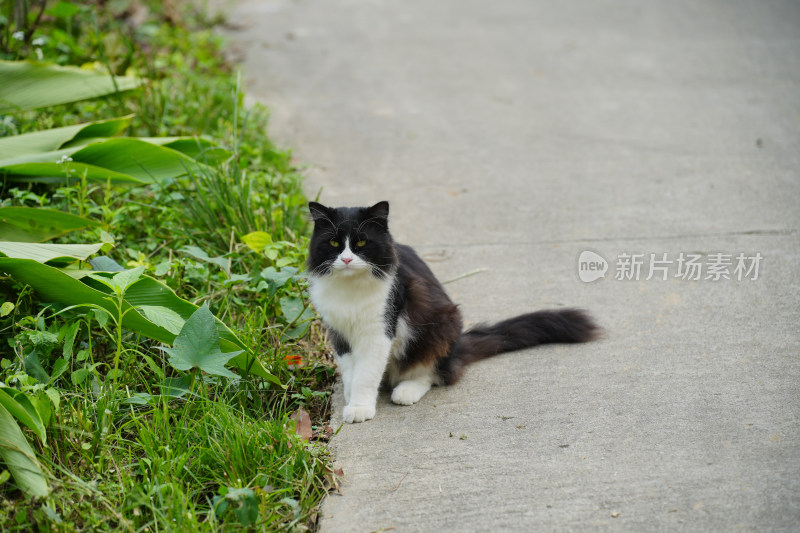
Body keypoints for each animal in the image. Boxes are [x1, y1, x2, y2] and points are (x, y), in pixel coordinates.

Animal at [306, 202, 600, 422]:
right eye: (334, 244)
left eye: (361, 243)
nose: (346, 259)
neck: (349, 289)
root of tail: (458, 346)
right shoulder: (339, 331)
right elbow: (350, 370)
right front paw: (350, 395)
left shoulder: (379, 330)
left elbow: (366, 373)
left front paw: (360, 407)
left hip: (438, 324)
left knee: (434, 372)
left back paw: (406, 390)